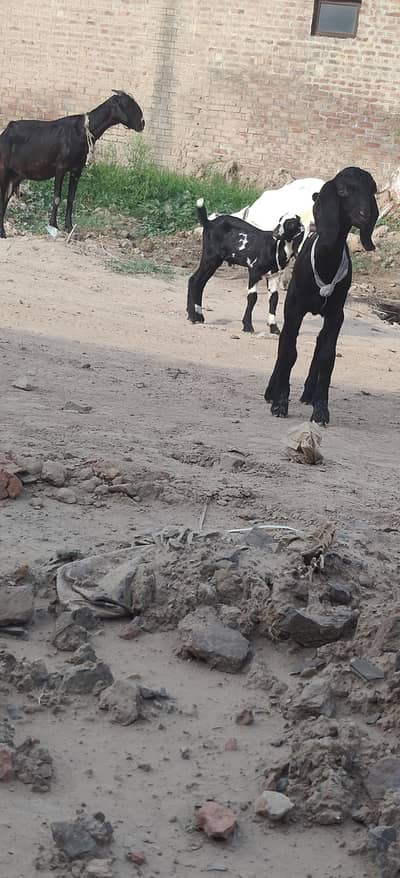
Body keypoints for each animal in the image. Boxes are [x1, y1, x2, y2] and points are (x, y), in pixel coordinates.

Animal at [0, 90, 145, 238]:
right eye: (127, 104)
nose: (142, 123)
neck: (81, 131)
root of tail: (5, 132)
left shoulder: (77, 170)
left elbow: (70, 199)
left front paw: (69, 227)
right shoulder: (60, 168)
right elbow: (57, 197)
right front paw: (53, 226)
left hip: (16, 175)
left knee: (5, 199)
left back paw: (3, 233)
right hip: (3, 169)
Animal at [187, 199, 304, 328]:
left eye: (291, 224)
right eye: (280, 220)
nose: (275, 233)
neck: (276, 247)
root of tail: (209, 223)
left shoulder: (274, 275)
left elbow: (274, 299)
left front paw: (273, 327)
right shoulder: (254, 270)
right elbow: (252, 297)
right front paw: (248, 326)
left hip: (214, 261)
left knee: (199, 282)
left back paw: (196, 316)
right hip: (210, 257)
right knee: (195, 281)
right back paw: (194, 316)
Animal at [265, 166, 378, 426]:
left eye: (372, 190)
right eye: (343, 190)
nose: (365, 215)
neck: (325, 263)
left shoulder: (336, 314)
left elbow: (327, 357)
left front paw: (321, 409)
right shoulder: (294, 309)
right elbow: (289, 351)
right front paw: (280, 402)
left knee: (318, 343)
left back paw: (308, 393)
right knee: (285, 344)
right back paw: (271, 391)